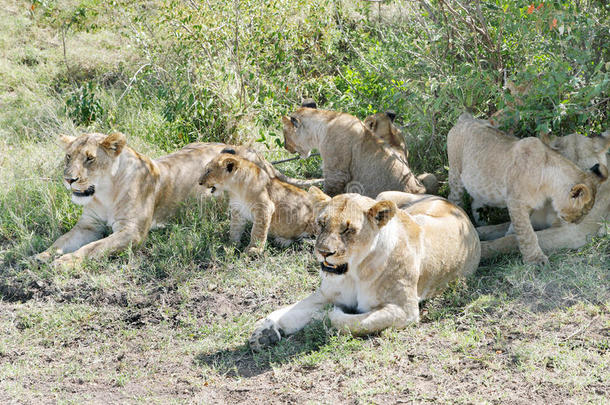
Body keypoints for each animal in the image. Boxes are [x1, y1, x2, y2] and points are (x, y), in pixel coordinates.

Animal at [33, 132, 318, 266]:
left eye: (90, 158)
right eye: (68, 156)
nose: (68, 179)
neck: (104, 193)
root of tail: (253, 151)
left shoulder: (132, 232)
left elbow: (94, 248)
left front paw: (66, 262)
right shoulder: (88, 225)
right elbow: (63, 240)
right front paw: (42, 256)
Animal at [247, 188, 480, 348]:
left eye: (348, 230)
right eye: (321, 224)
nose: (323, 252)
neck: (355, 272)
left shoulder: (405, 310)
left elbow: (349, 322)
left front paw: (322, 316)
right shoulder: (326, 293)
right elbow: (292, 309)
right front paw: (265, 330)